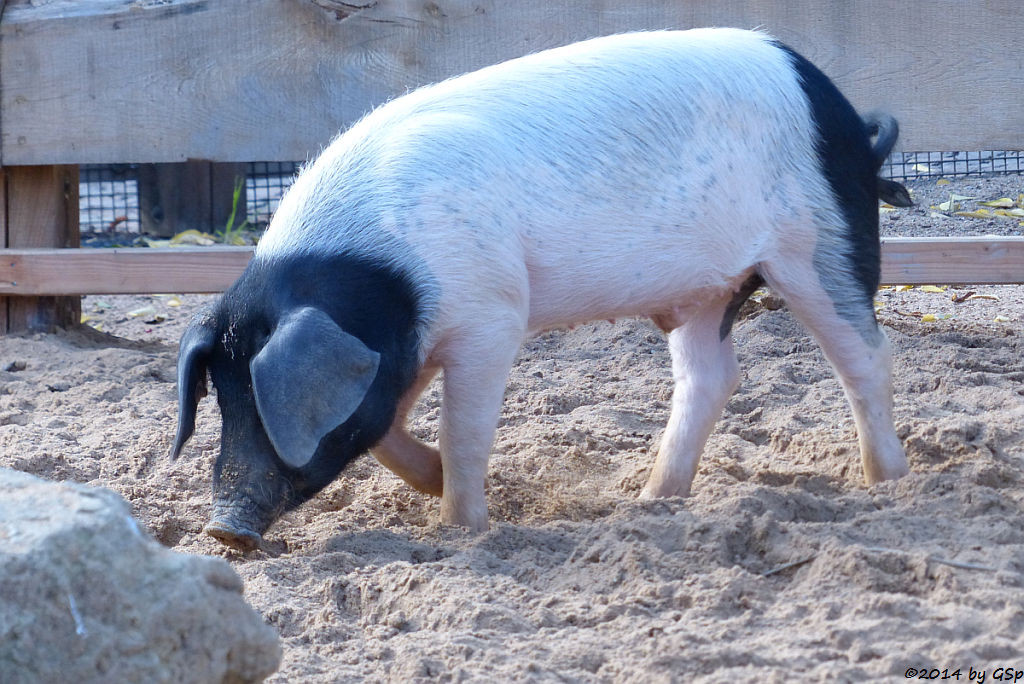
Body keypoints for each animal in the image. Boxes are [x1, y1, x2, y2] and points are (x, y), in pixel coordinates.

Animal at [169, 28, 913, 548]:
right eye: (223, 400)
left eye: (264, 406)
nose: (223, 529)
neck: (387, 275)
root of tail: (847, 120)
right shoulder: (403, 345)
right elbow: (382, 424)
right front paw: (432, 482)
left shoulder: (490, 315)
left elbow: (463, 429)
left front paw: (456, 531)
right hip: (705, 290)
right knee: (711, 377)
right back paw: (651, 501)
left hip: (820, 243)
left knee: (867, 358)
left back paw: (888, 486)